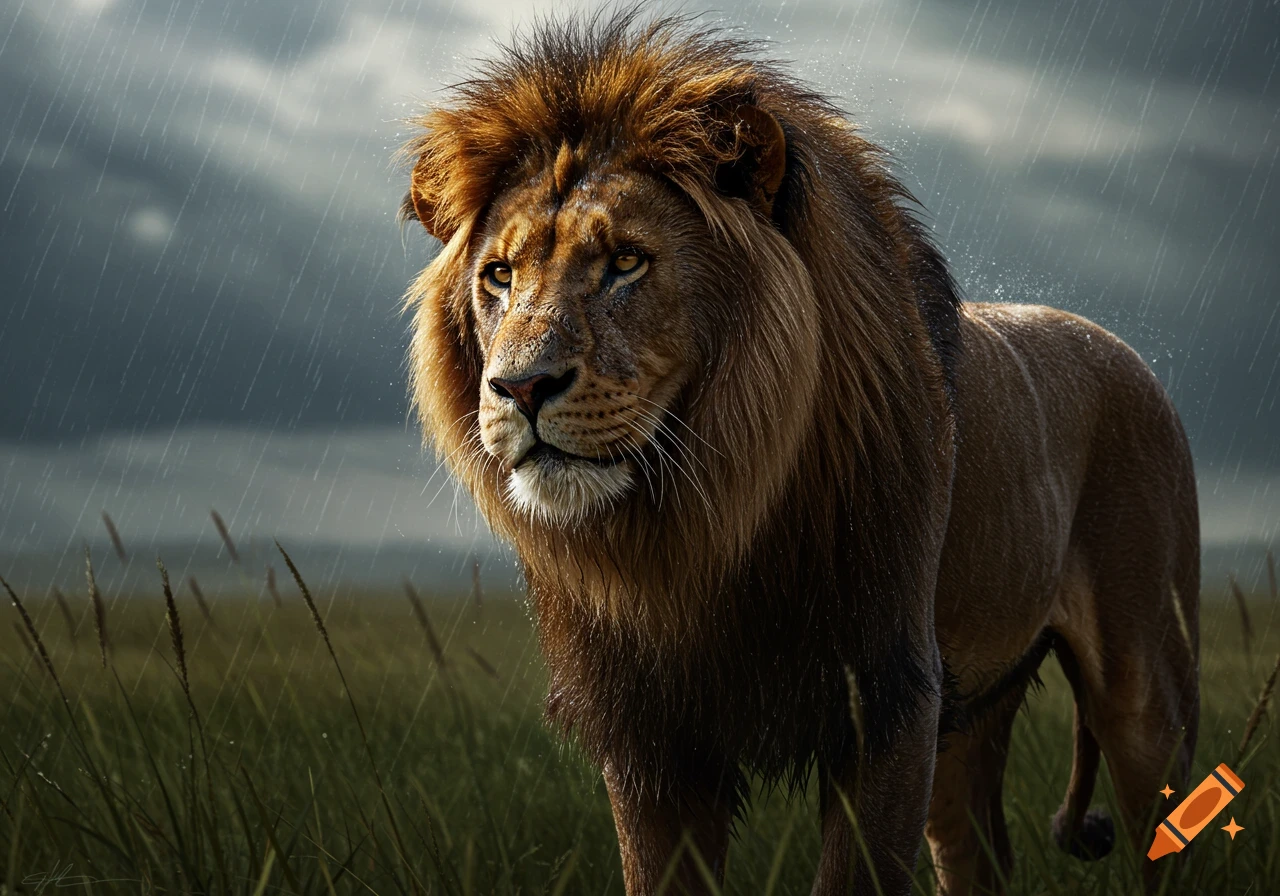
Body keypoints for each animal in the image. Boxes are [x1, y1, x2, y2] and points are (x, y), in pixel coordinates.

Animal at [397, 12, 1200, 895]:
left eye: (626, 261)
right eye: (499, 276)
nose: (520, 386)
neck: (703, 526)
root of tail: (1121, 349)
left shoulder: (887, 700)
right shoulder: (648, 737)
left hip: (1142, 683)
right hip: (972, 720)